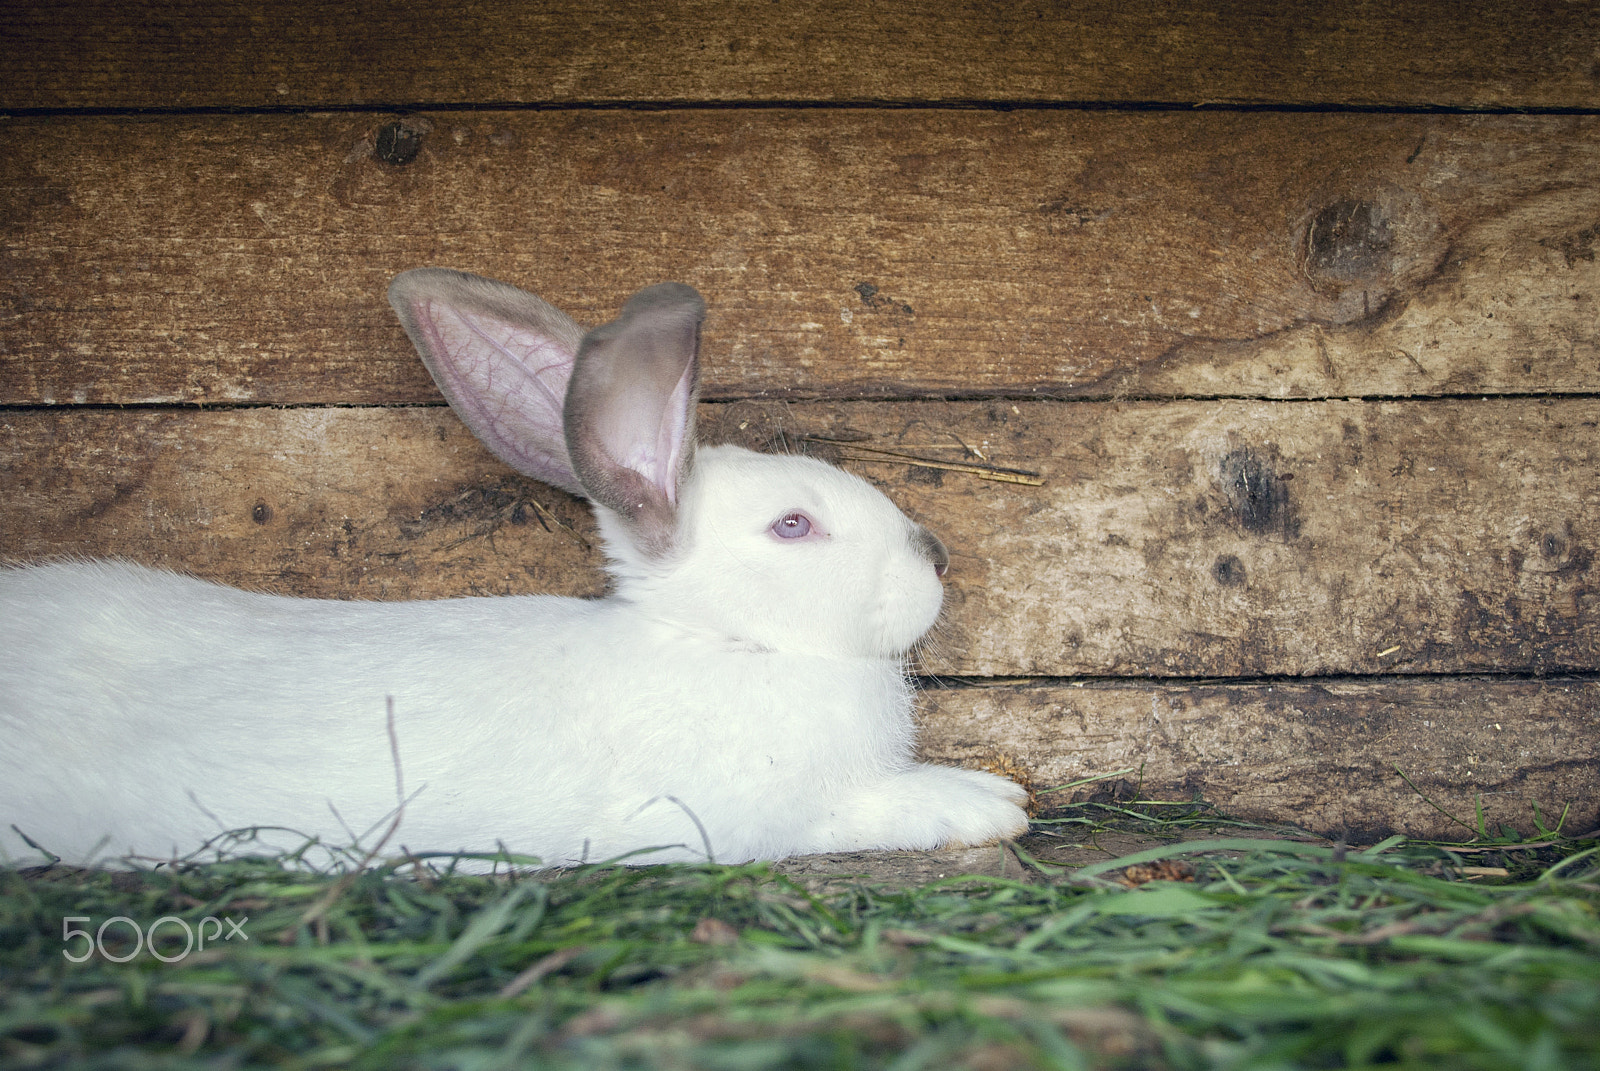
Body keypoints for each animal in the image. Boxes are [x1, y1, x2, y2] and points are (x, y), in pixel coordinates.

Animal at [0, 268, 1024, 870]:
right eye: (794, 524)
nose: (937, 557)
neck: (720, 641)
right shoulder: (749, 816)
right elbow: (869, 809)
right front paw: (984, 802)